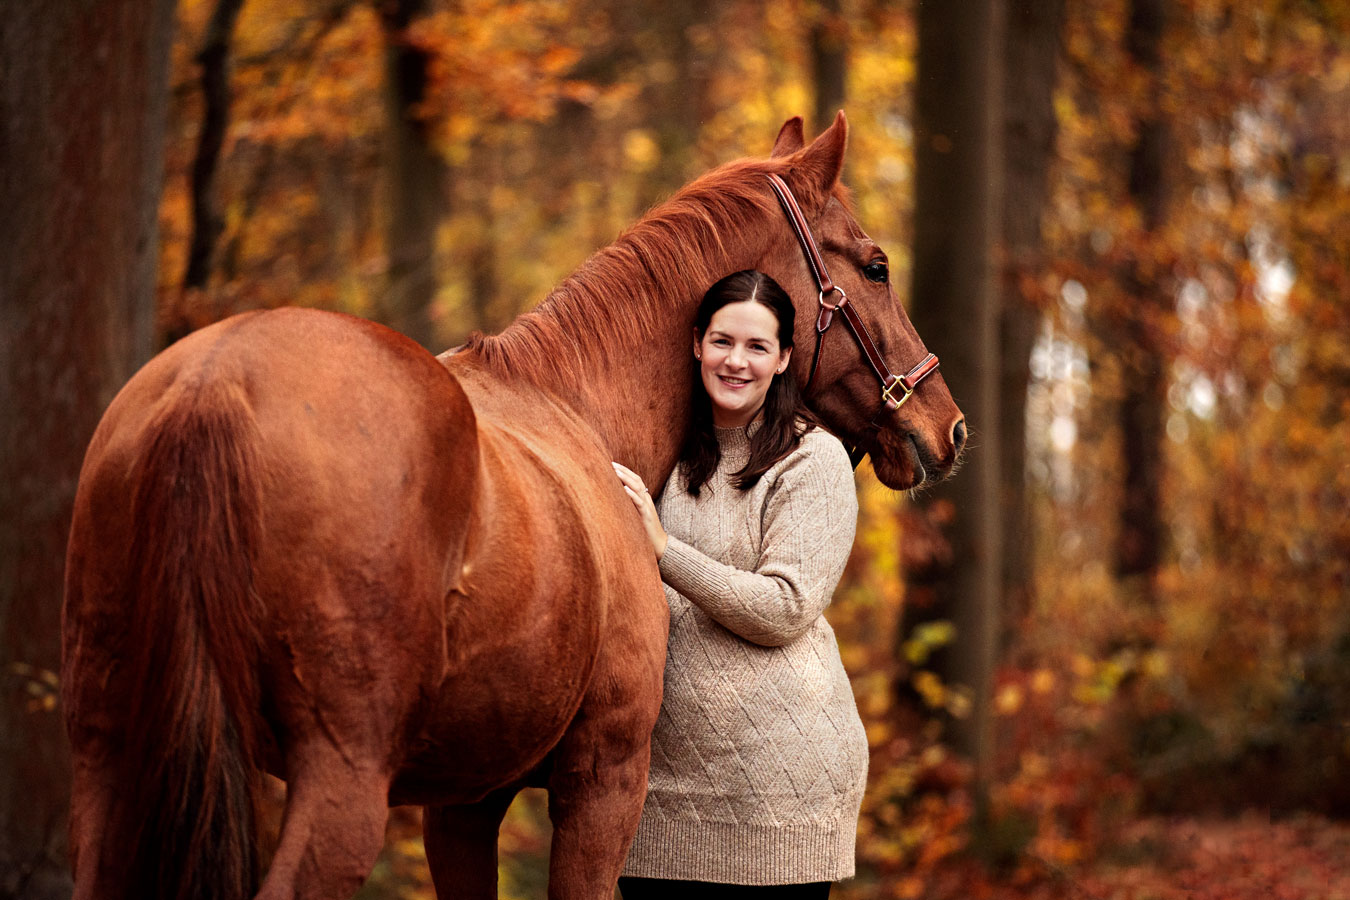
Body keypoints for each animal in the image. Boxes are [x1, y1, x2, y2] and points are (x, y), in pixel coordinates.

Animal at [61, 112, 965, 900]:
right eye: (877, 266)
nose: (947, 426)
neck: (578, 406)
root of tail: (213, 384)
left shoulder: (462, 803)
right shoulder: (604, 780)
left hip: (112, 760)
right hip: (339, 781)